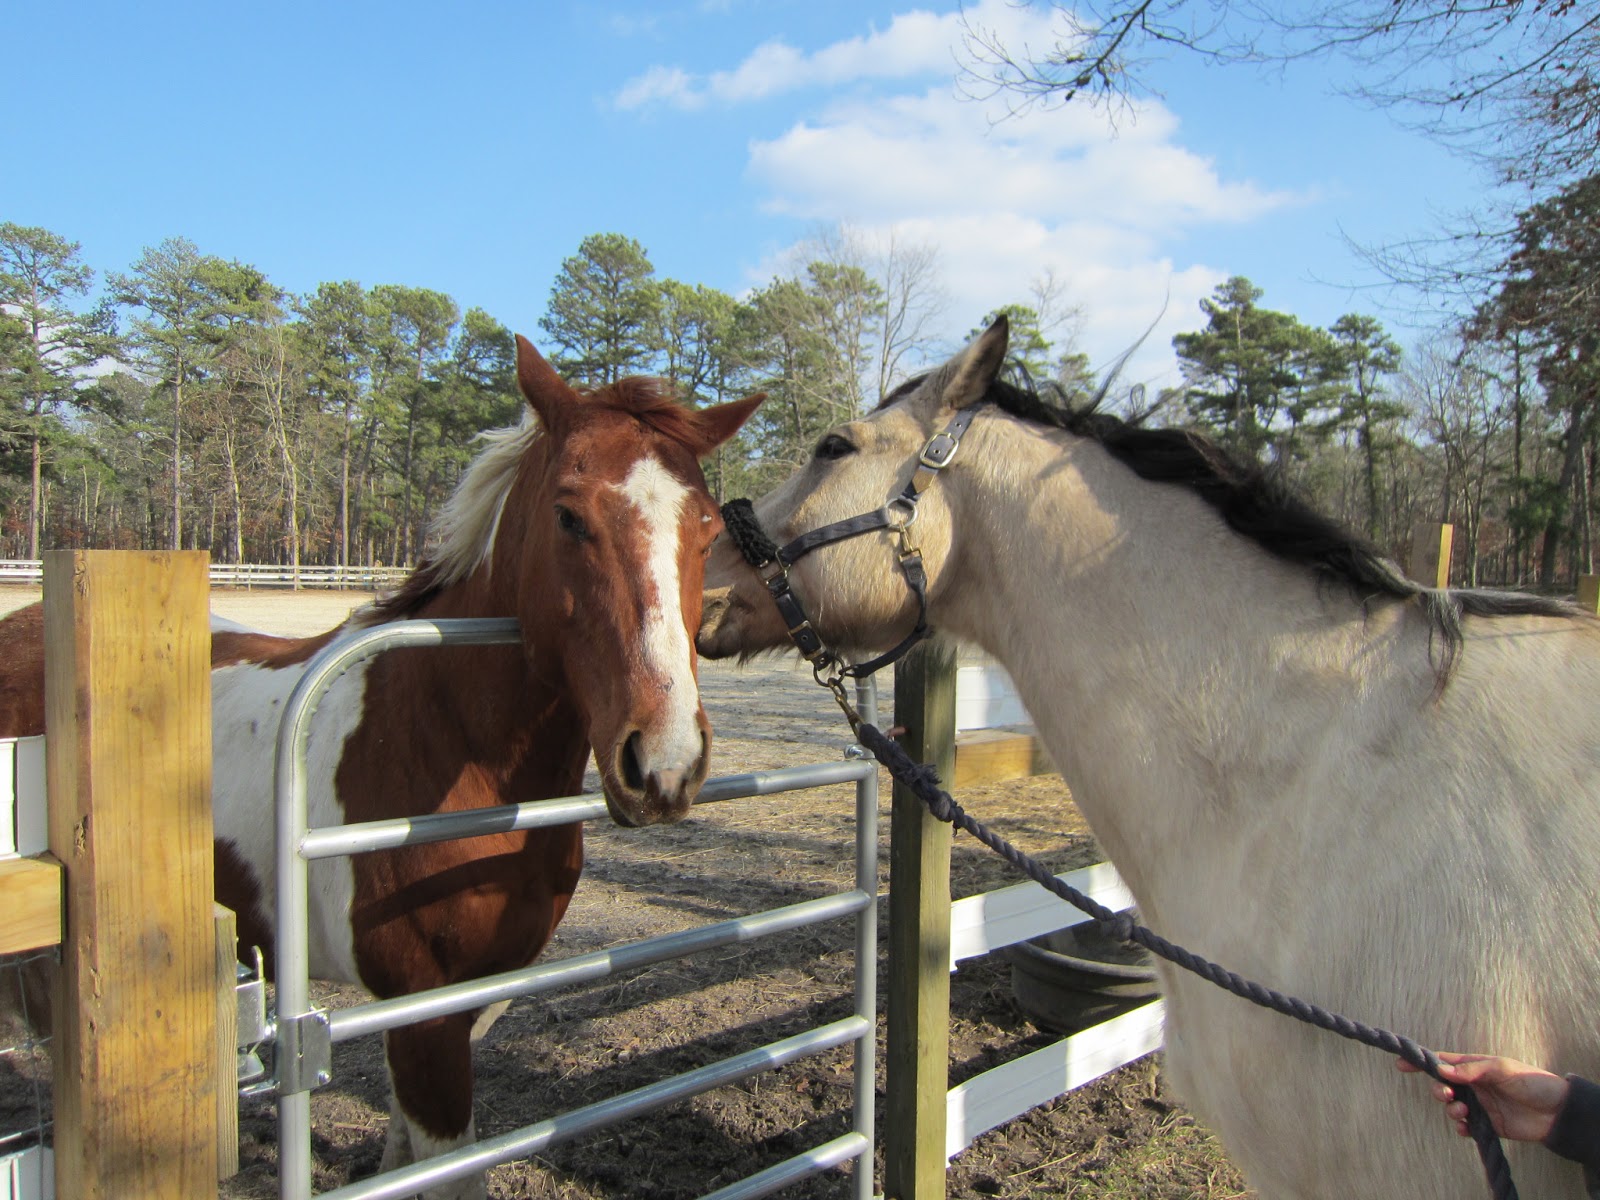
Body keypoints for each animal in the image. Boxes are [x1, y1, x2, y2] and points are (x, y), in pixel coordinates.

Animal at [0, 336, 761, 1200]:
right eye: (569, 516)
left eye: (707, 530)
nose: (664, 761)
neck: (450, 746)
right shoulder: (424, 1014)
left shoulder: (476, 997)